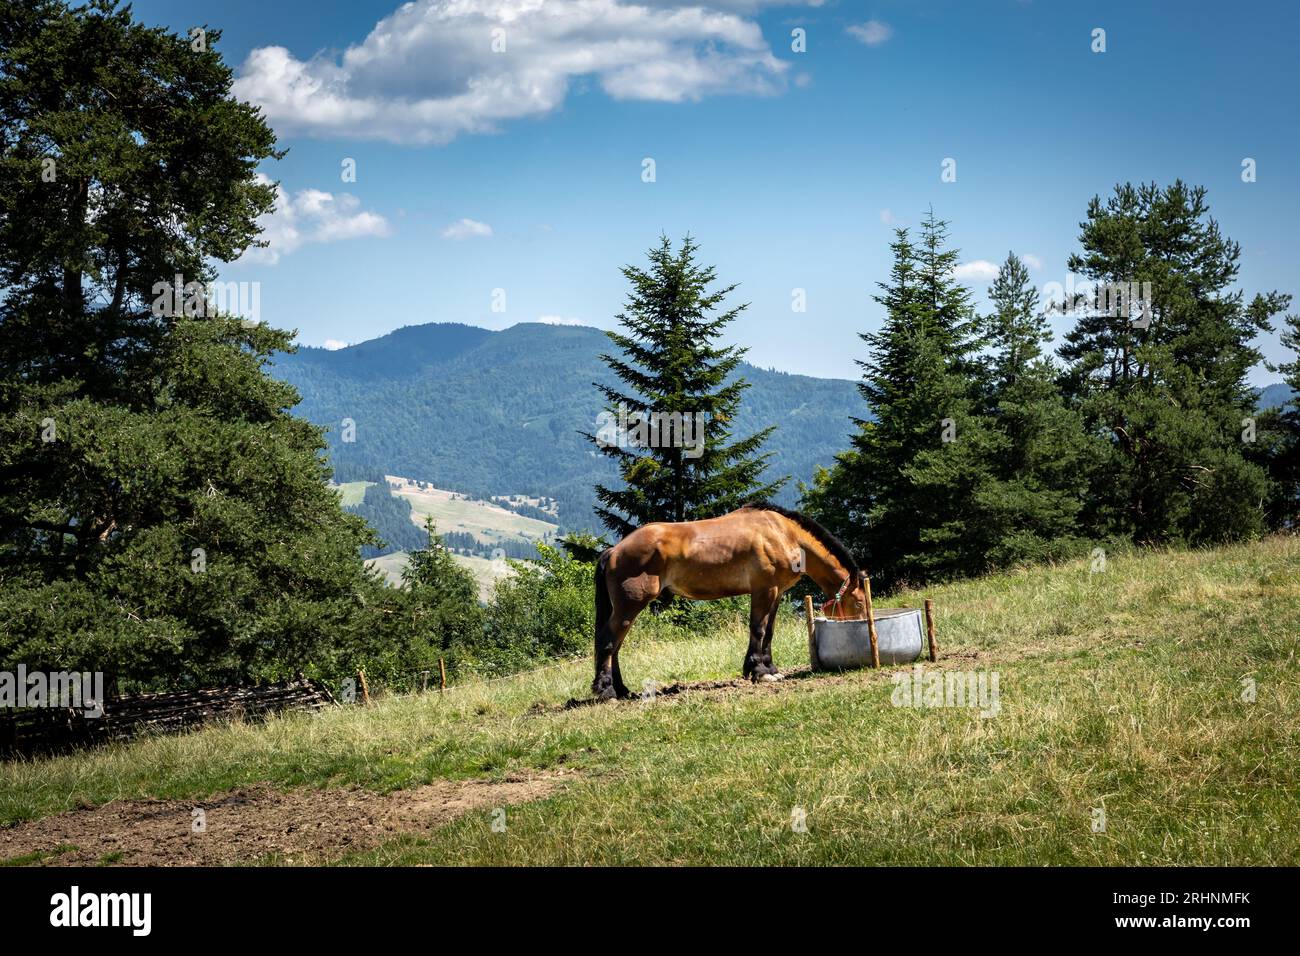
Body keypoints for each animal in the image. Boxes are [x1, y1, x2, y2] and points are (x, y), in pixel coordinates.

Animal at [595, 504, 868, 697]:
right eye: (860, 603)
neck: (782, 533)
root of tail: (615, 551)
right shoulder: (764, 590)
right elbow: (758, 629)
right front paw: (758, 671)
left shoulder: (777, 592)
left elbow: (769, 631)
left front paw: (770, 669)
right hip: (630, 605)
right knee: (609, 641)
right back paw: (606, 690)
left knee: (616, 644)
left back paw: (621, 690)